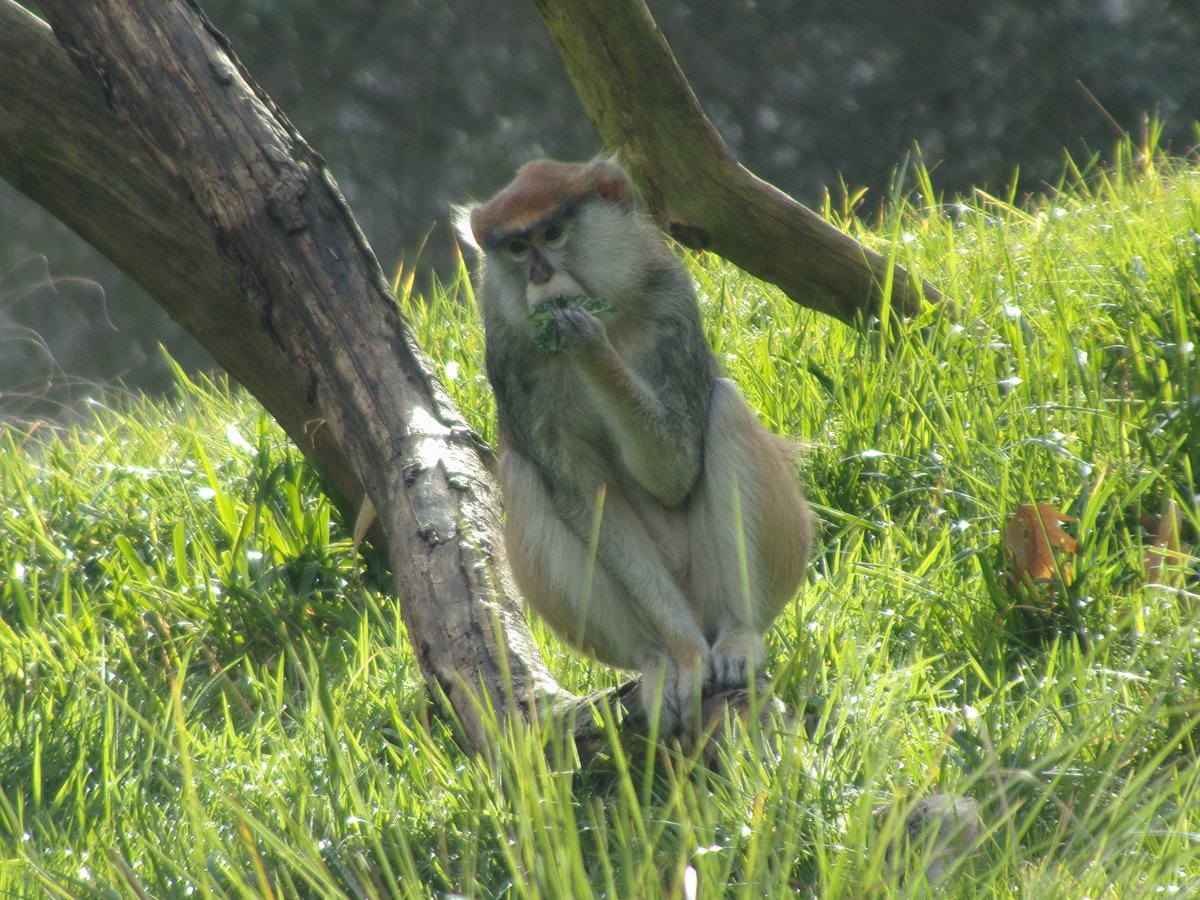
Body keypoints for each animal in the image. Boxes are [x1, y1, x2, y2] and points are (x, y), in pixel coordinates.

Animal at [460, 158, 812, 735]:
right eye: (515, 247)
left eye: (552, 234)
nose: (539, 276)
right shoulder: (512, 359)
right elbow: (585, 498)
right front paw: (685, 658)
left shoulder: (671, 304)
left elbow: (674, 473)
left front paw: (588, 344)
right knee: (521, 474)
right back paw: (657, 660)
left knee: (723, 408)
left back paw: (738, 636)